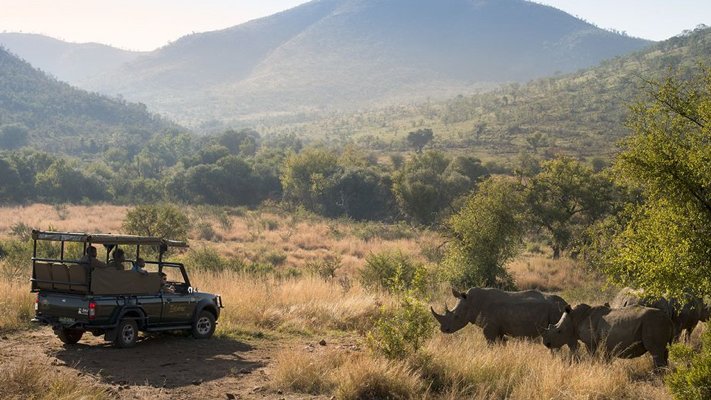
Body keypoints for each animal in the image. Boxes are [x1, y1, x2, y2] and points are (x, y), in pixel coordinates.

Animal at [432, 288, 572, 346]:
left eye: (456, 316)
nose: (443, 329)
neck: (471, 302)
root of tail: (565, 303)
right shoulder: (498, 329)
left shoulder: (489, 329)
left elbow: (490, 344)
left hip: (556, 310)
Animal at [544, 304, 676, 368]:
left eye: (559, 331)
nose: (547, 344)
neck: (575, 318)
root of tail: (669, 319)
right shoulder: (605, 344)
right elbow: (606, 359)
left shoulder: (591, 342)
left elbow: (592, 356)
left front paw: (593, 367)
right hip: (656, 322)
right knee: (662, 351)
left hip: (653, 322)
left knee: (655, 351)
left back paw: (657, 376)